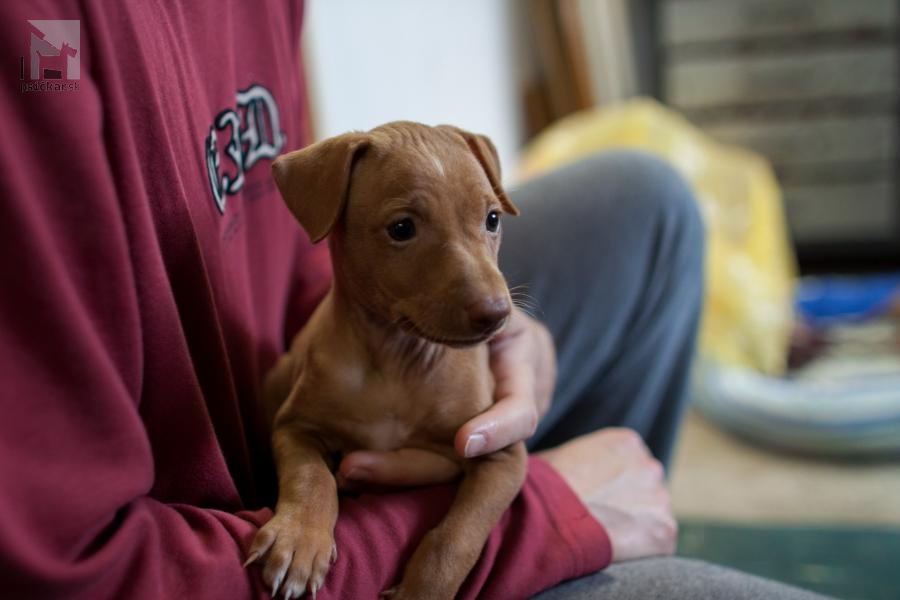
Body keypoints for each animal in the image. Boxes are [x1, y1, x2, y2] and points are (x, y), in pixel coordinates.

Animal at [246, 119, 528, 596]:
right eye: (401, 228)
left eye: (492, 219)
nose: (496, 314)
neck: (399, 360)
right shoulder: (294, 427)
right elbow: (311, 476)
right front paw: (300, 538)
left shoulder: (501, 450)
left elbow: (458, 535)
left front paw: (422, 590)